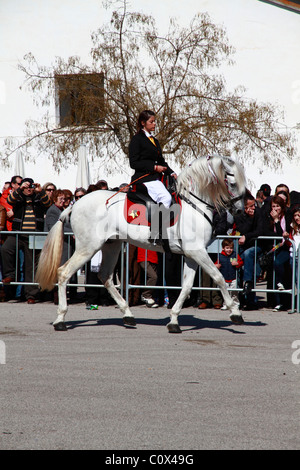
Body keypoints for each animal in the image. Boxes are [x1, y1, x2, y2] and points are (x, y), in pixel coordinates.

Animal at [35, 156, 246, 332]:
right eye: (232, 183)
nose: (240, 211)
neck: (194, 205)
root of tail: (75, 204)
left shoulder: (193, 255)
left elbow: (186, 287)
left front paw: (174, 321)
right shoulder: (198, 253)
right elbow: (219, 278)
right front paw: (235, 312)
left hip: (111, 245)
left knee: (105, 276)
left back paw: (127, 315)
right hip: (88, 248)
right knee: (64, 273)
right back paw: (60, 320)